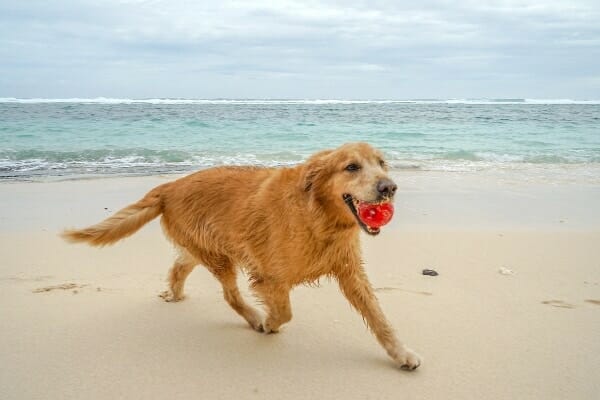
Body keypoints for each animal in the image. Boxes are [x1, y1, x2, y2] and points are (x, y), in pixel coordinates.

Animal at [63, 142, 422, 370]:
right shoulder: (269, 276)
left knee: (179, 267)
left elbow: (380, 319)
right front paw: (268, 323)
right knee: (230, 295)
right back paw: (252, 317)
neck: (318, 217)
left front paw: (401, 353)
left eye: (382, 163)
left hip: (201, 249)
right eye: (351, 167)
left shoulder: (350, 272)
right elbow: (284, 313)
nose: (389, 188)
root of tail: (169, 187)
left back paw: (174, 294)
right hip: (221, 257)